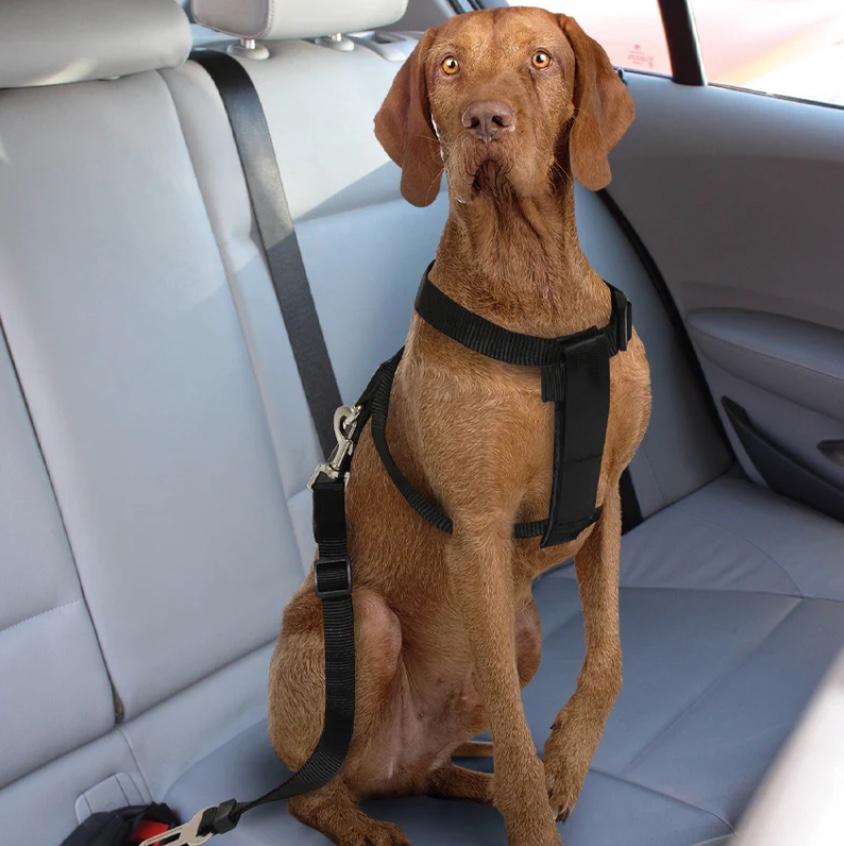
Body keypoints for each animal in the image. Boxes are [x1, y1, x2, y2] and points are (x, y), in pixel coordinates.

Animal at [269, 8, 652, 845]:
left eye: (541, 59)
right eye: (448, 67)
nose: (484, 120)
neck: (535, 296)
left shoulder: (605, 497)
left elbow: (610, 655)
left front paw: (564, 759)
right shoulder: (477, 538)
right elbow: (510, 721)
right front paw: (535, 806)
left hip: (522, 634)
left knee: (427, 771)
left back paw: (478, 782)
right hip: (363, 628)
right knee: (311, 791)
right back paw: (364, 820)